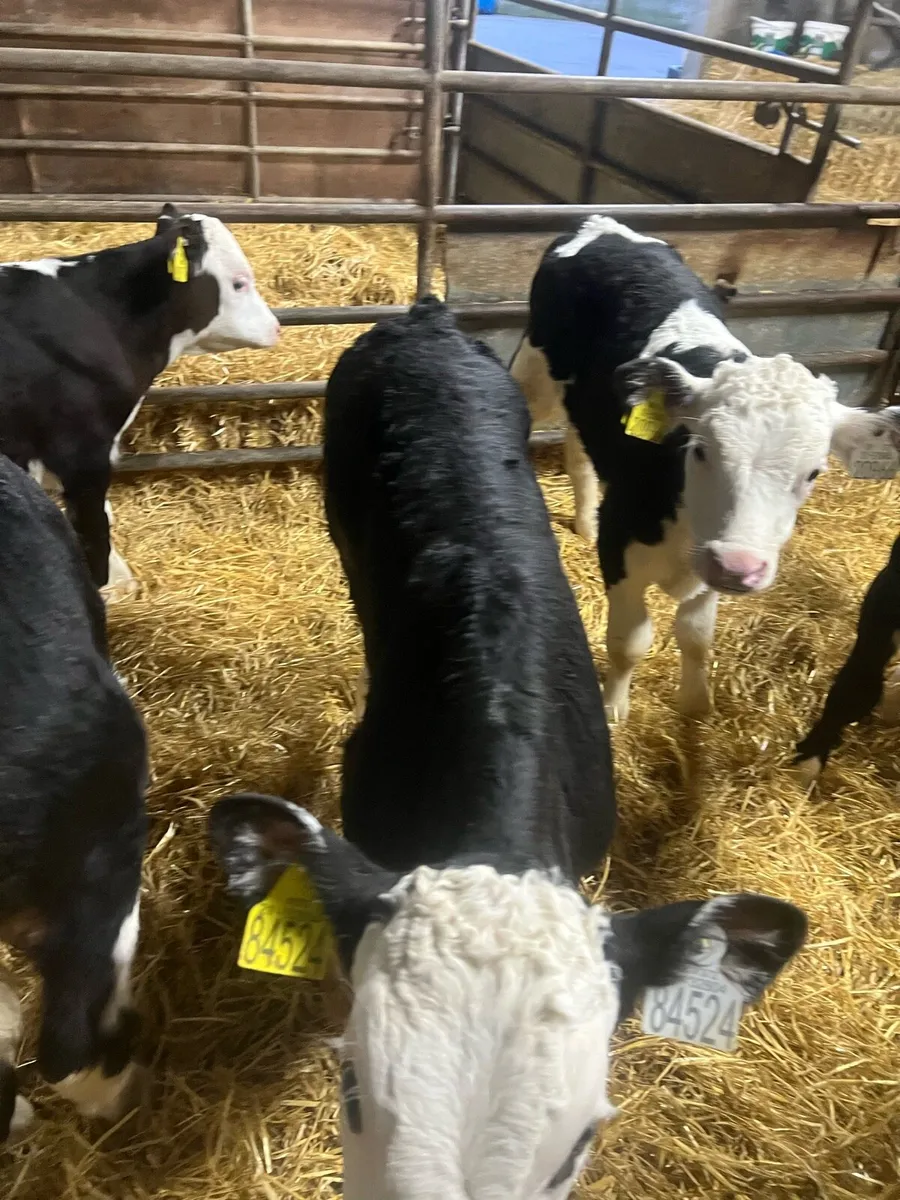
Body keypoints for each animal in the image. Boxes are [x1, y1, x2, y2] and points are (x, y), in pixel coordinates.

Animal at [510, 214, 900, 722]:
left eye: (813, 472)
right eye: (700, 451)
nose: (736, 567)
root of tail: (605, 223)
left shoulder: (710, 567)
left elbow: (695, 636)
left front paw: (696, 705)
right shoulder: (622, 550)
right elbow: (630, 642)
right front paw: (614, 707)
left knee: (580, 454)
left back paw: (585, 522)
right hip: (533, 371)